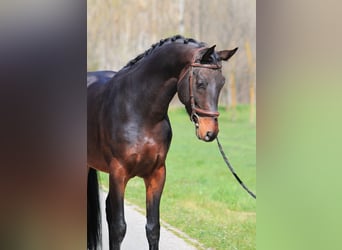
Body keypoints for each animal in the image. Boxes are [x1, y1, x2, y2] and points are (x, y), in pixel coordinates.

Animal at [87, 35, 238, 250]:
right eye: (200, 82)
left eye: (222, 83)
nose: (210, 132)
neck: (139, 110)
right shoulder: (118, 173)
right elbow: (118, 227)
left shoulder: (157, 173)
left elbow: (153, 228)